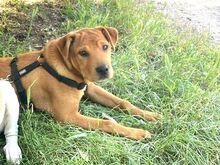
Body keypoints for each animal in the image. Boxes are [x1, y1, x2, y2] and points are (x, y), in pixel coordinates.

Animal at [0, 26, 162, 139]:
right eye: (83, 53)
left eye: (105, 46)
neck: (65, 69)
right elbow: (108, 122)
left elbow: (123, 102)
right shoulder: (67, 115)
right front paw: (137, 132)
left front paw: (150, 114)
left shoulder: (90, 87)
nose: (103, 69)